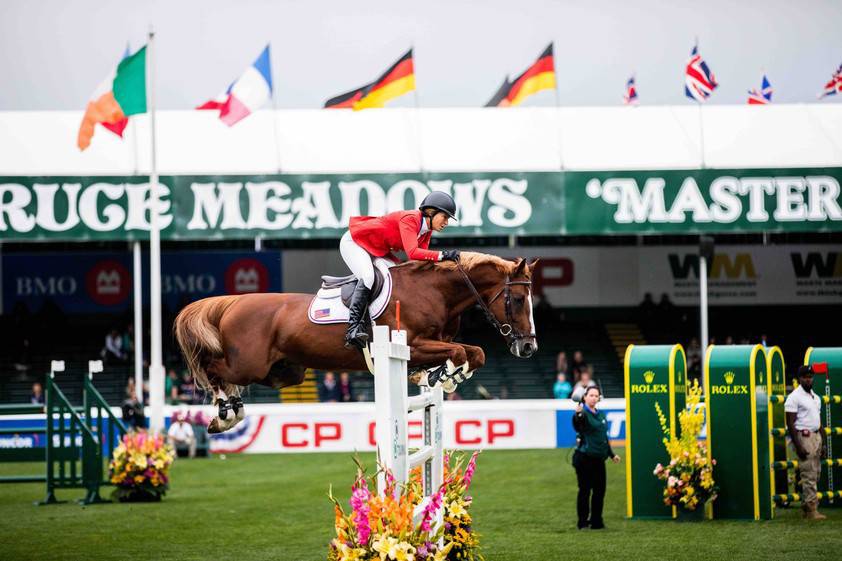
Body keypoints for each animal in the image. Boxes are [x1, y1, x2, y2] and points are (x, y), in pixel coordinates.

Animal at [173, 252, 536, 430]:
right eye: (518, 299)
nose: (529, 347)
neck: (434, 291)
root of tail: (233, 301)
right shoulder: (412, 344)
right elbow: (462, 351)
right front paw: (445, 375)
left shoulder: (431, 346)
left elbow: (475, 353)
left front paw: (441, 376)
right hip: (249, 363)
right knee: (213, 368)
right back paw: (225, 414)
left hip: (285, 372)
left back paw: (231, 412)